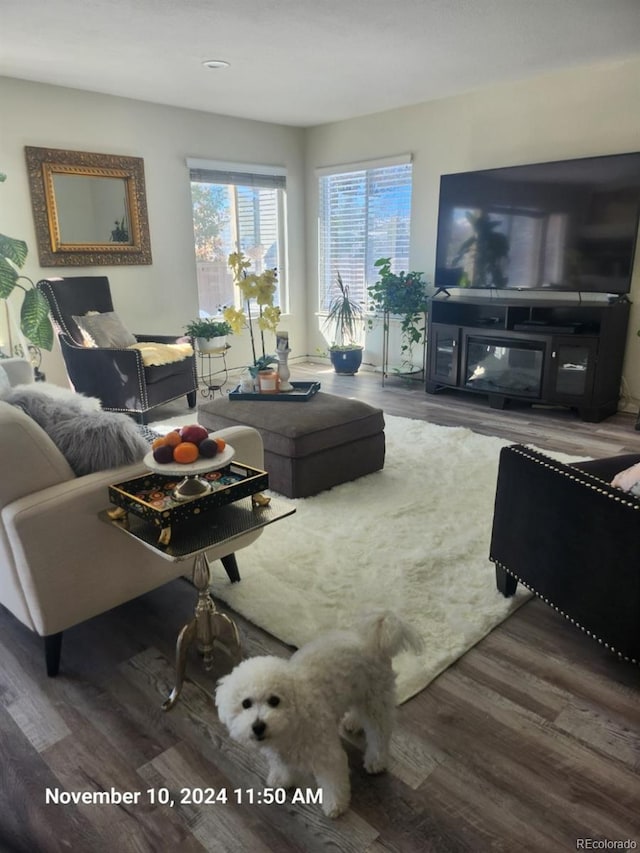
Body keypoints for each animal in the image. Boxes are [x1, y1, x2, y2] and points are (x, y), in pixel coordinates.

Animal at [215, 608, 424, 816]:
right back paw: (353, 722)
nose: (258, 726)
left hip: (375, 701)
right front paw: (281, 779)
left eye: (274, 700)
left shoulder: (328, 755)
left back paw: (376, 760)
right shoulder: (278, 754)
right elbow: (282, 767)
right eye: (246, 703)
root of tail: (372, 639)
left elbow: (333, 781)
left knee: (379, 733)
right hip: (359, 692)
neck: (290, 728)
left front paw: (335, 805)